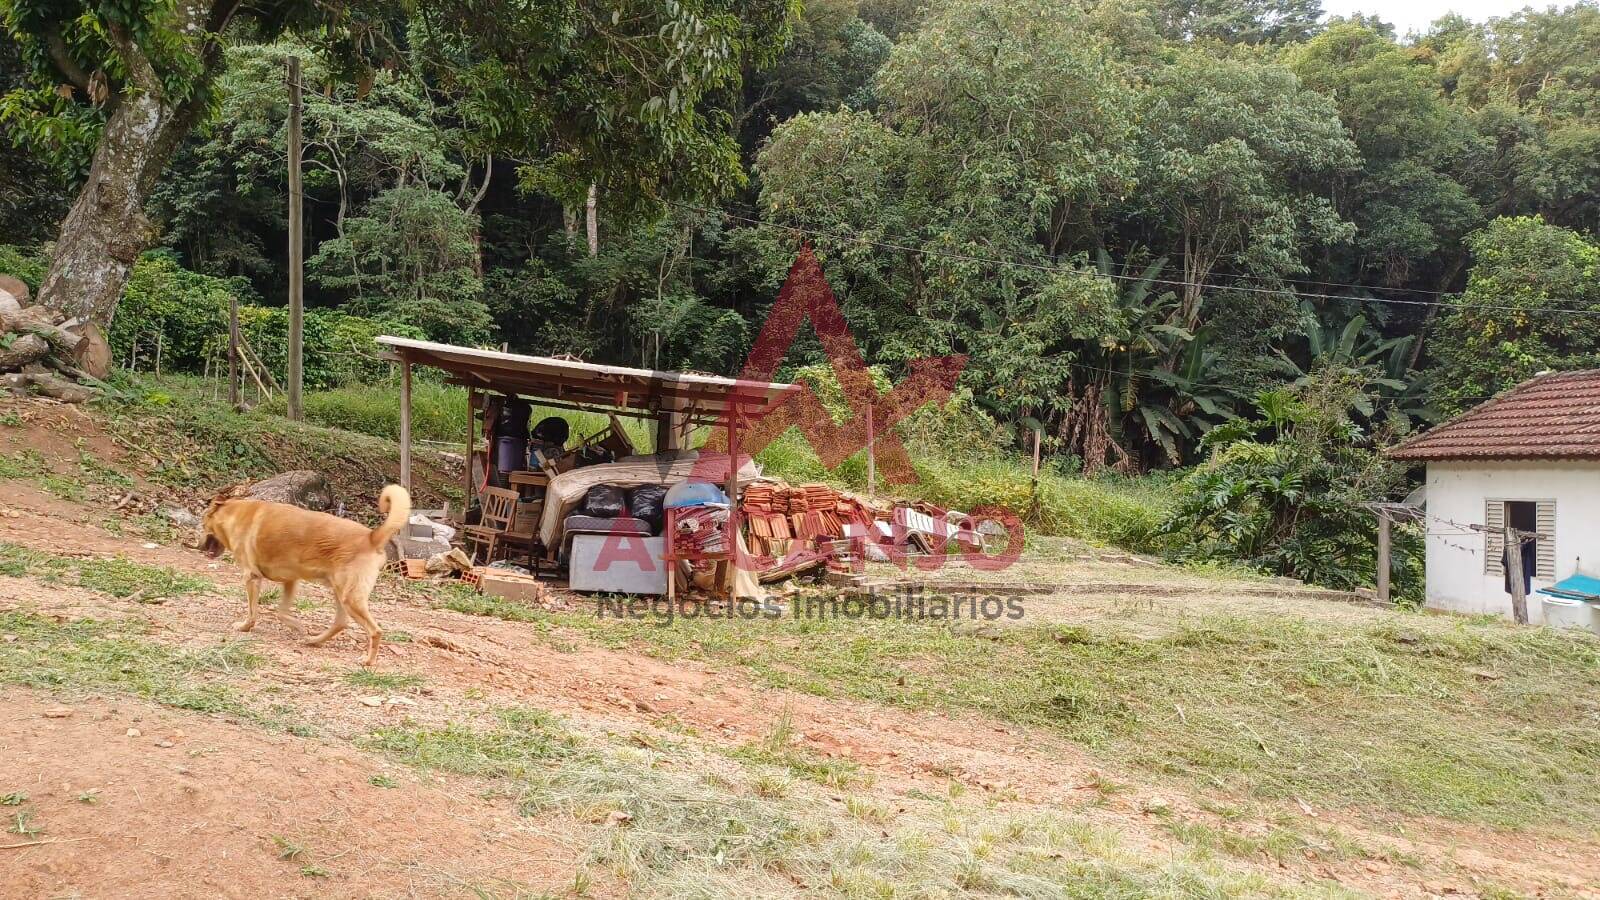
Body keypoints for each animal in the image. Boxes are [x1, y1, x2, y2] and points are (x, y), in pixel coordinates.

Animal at [199, 480, 409, 662]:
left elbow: (253, 613)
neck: (233, 513)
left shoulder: (252, 578)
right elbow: (281, 612)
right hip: (340, 593)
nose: (197, 546)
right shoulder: (290, 580)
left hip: (350, 598)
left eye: (202, 524)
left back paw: (367, 661)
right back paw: (314, 640)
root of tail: (371, 537)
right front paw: (298, 627)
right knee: (341, 623)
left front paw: (244, 627)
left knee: (375, 631)